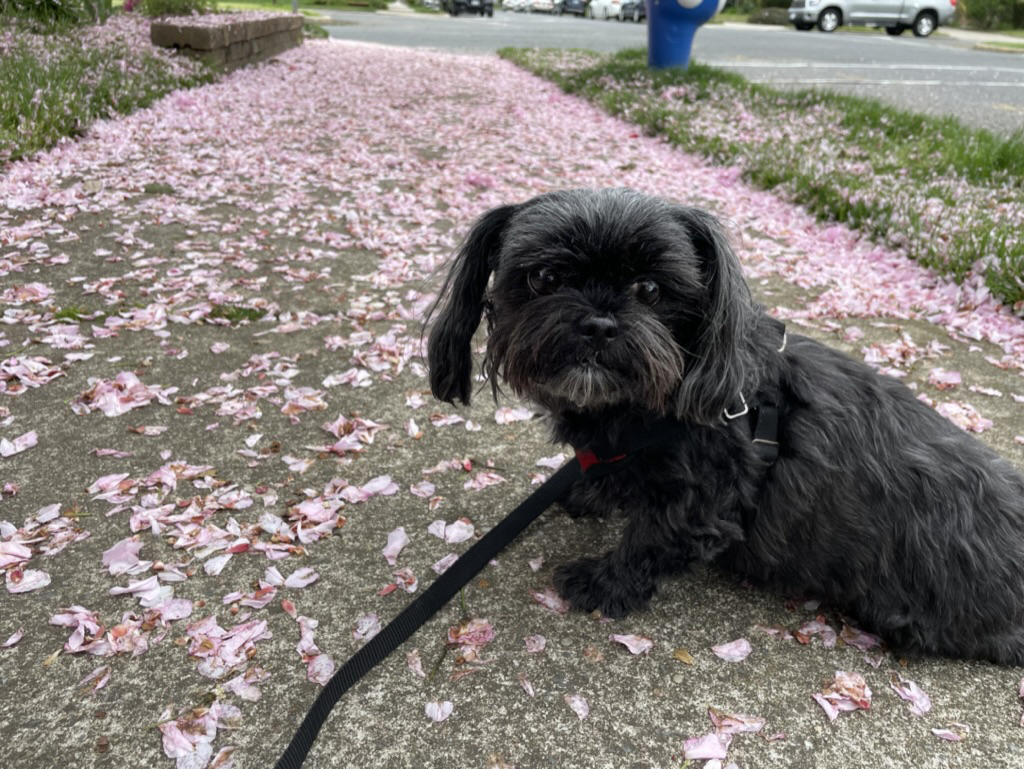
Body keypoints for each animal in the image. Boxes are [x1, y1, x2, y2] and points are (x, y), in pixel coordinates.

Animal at [426, 187, 1024, 665]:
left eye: (650, 290)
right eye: (545, 277)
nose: (597, 323)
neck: (650, 404)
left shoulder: (705, 496)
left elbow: (653, 538)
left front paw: (603, 581)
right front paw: (593, 491)